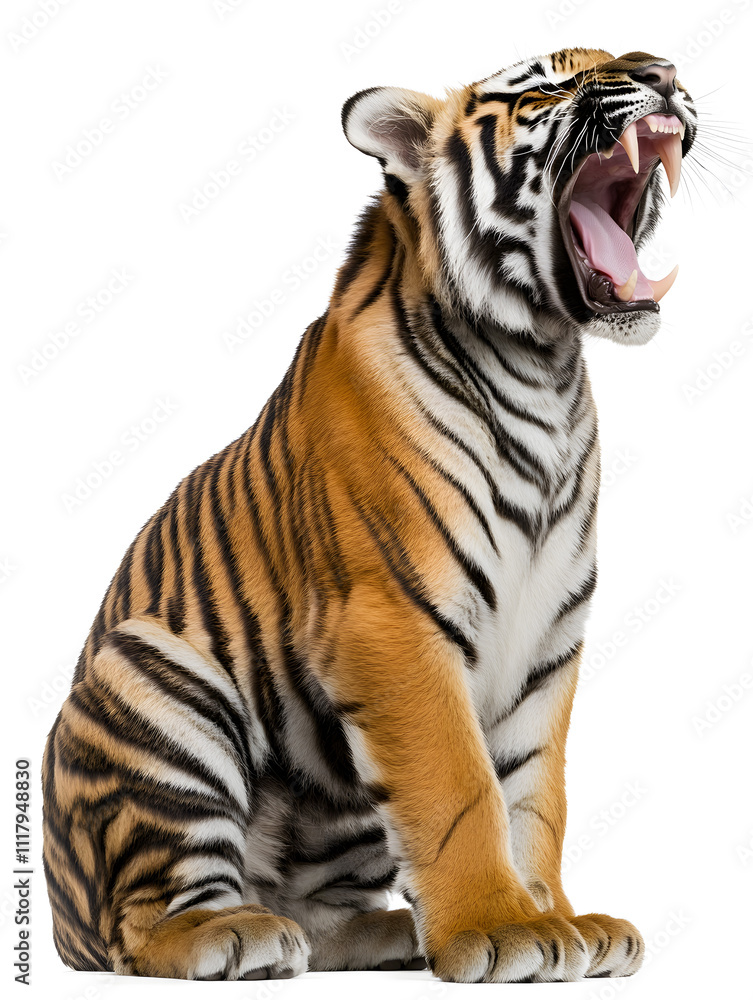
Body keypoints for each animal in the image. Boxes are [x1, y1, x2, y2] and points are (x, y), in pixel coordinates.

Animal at [42, 47, 697, 983]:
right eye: (546, 85)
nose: (664, 71)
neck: (544, 369)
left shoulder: (547, 640)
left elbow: (533, 797)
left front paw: (561, 919)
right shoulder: (392, 622)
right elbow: (459, 790)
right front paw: (504, 929)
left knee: (317, 920)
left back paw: (390, 933)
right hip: (150, 677)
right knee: (140, 923)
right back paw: (228, 934)